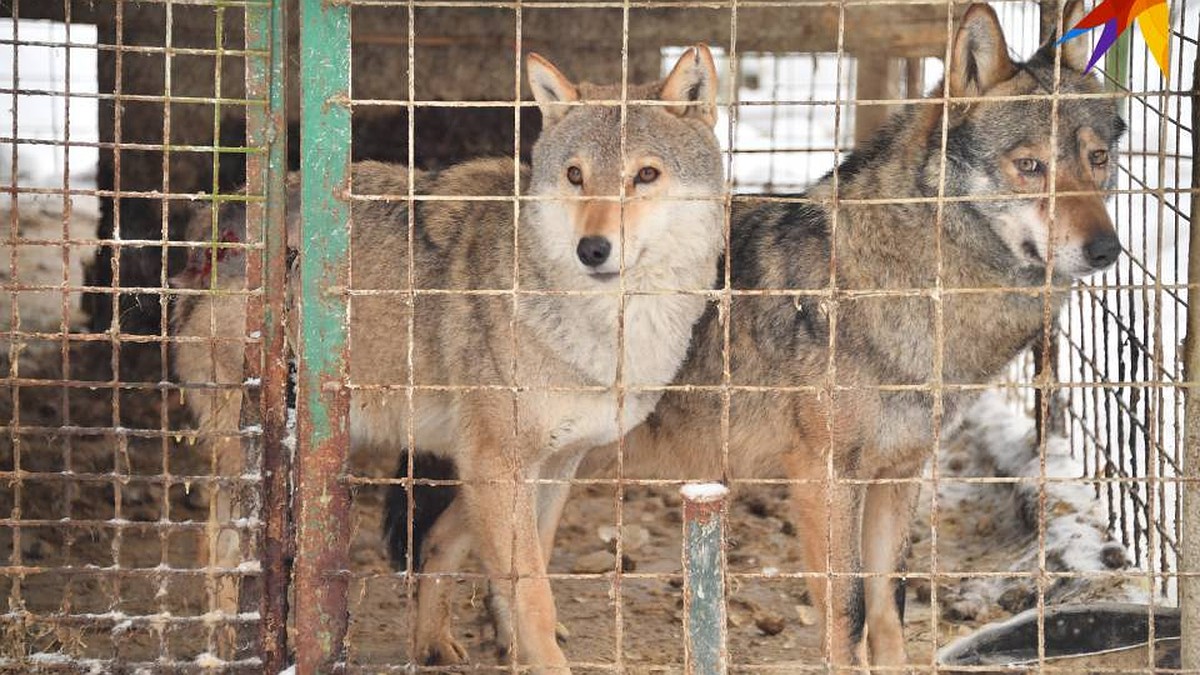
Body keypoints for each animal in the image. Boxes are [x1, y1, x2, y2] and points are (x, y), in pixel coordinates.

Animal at [174, 47, 724, 667]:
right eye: (575, 175)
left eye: (646, 174)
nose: (592, 249)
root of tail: (221, 215)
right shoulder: (496, 461)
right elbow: (532, 595)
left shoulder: (555, 463)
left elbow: (514, 564)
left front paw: (484, 644)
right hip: (257, 450)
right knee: (219, 545)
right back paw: (226, 647)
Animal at [393, 1, 1123, 667]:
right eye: (1030, 166)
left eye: (1098, 160)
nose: (1108, 249)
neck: (912, 286)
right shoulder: (824, 477)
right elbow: (849, 613)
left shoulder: (898, 477)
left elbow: (889, 611)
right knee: (450, 543)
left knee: (453, 543)